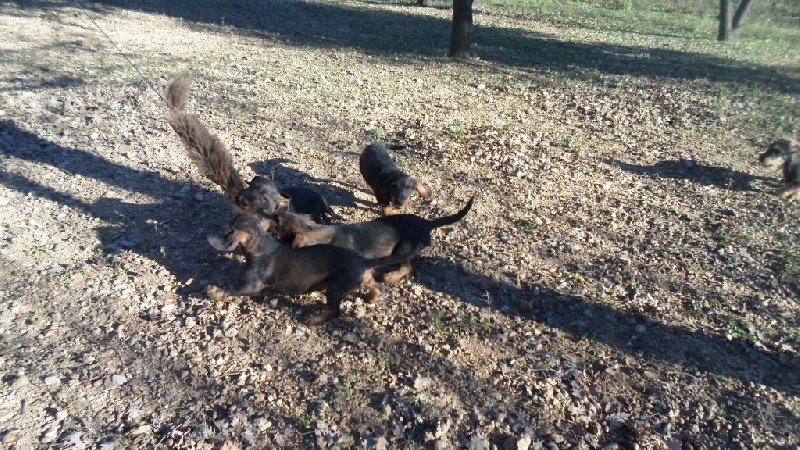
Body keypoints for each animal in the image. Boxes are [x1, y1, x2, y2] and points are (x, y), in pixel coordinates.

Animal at [206, 213, 419, 325]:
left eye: (232, 222)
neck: (260, 245)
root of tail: (361, 261)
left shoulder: (251, 285)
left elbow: (230, 289)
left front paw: (214, 291)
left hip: (335, 288)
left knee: (334, 311)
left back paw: (314, 319)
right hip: (360, 279)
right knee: (377, 286)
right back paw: (371, 298)